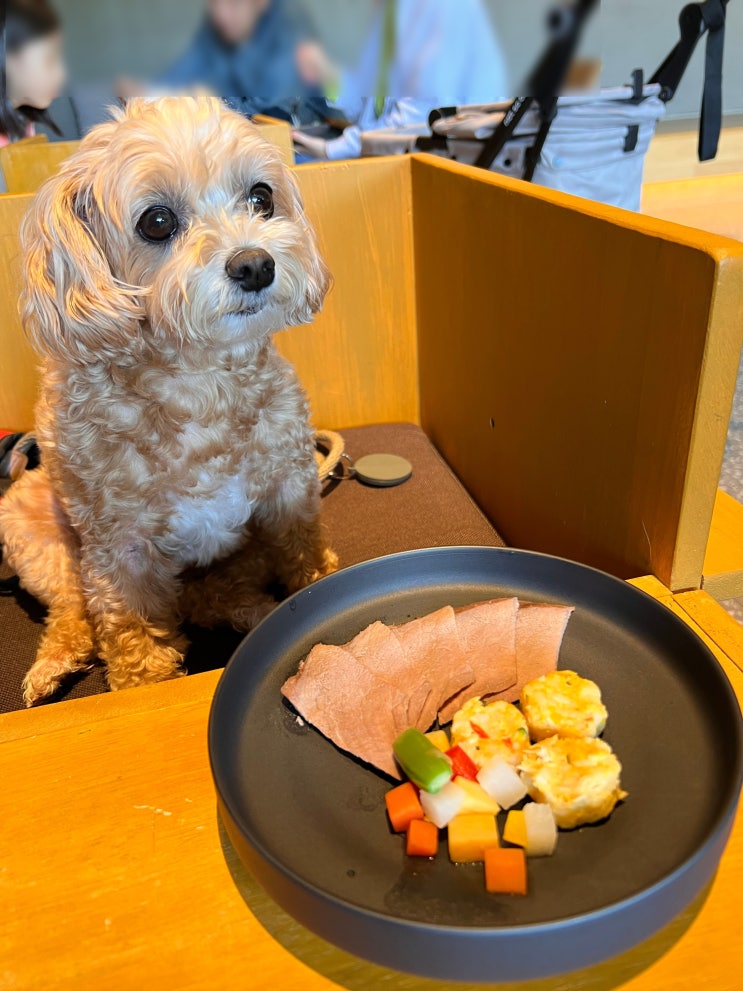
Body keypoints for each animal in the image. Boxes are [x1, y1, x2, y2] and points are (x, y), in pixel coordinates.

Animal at [0, 96, 338, 705]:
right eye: (156, 222)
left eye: (261, 196)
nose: (255, 264)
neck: (197, 382)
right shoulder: (120, 551)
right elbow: (130, 635)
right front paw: (145, 687)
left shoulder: (290, 491)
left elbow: (307, 556)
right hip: (30, 524)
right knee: (73, 609)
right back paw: (54, 665)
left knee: (206, 596)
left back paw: (246, 609)